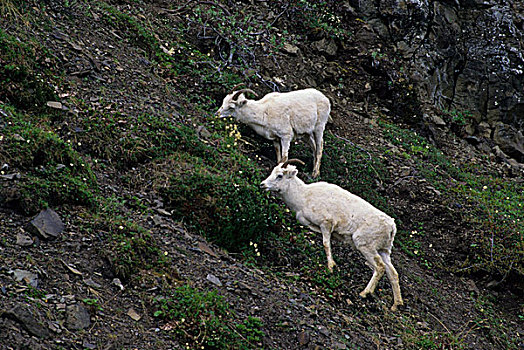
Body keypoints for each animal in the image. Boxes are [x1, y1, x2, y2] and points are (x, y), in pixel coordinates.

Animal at [260, 160, 404, 310]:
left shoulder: (326, 224)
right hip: (384, 251)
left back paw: (364, 293)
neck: (304, 197)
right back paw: (396, 305)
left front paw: (331, 267)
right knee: (392, 273)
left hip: (366, 247)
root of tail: (391, 227)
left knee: (380, 267)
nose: (262, 185)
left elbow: (326, 245)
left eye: (280, 176)